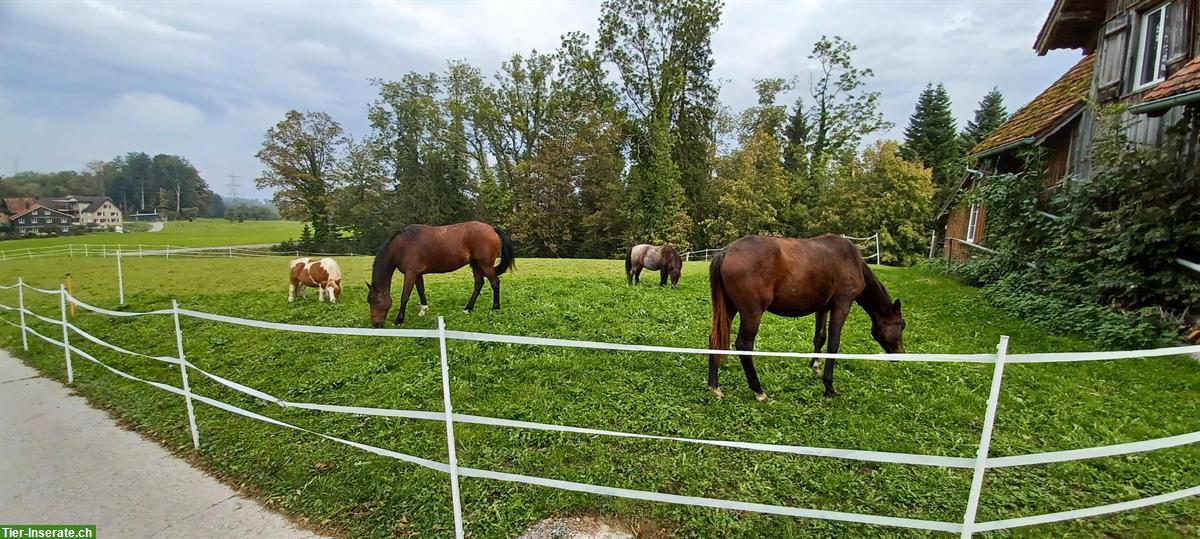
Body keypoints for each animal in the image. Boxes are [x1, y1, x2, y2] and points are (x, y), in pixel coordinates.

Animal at [364, 219, 516, 326]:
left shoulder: (410, 273)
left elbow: (405, 296)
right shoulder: (417, 274)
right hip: (476, 265)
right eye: (369, 301)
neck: (403, 246)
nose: (376, 324)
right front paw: (423, 310)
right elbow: (421, 291)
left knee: (495, 282)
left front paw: (399, 319)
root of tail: (491, 228)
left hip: (486, 265)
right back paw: (468, 308)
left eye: (377, 301)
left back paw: (495, 308)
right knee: (479, 284)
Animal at [705, 234, 902, 398]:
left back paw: (715, 387)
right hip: (751, 313)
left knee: (714, 338)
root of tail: (726, 252)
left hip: (729, 309)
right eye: (902, 325)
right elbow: (833, 343)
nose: (901, 354)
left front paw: (814, 368)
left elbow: (820, 338)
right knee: (744, 345)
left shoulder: (822, 308)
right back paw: (759, 391)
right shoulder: (842, 304)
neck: (852, 261)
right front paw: (829, 387)